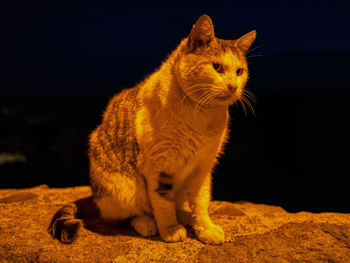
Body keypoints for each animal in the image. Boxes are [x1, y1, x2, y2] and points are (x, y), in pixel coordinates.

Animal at [47, 13, 256, 245]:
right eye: (217, 67)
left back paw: (185, 216)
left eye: (239, 71)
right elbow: (163, 204)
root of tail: (95, 196)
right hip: (125, 189)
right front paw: (171, 229)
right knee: (129, 215)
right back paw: (148, 223)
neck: (201, 113)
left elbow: (201, 203)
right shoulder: (160, 167)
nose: (233, 86)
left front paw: (205, 229)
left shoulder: (203, 168)